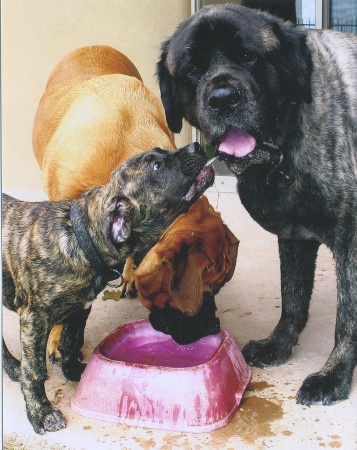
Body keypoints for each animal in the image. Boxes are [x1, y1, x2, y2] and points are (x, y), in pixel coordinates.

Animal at [2, 143, 211, 432]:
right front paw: (41, 413)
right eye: (156, 166)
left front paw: (75, 372)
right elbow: (34, 371)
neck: (79, 238)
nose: (197, 145)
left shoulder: (79, 310)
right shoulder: (34, 319)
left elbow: (71, 342)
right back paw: (14, 367)